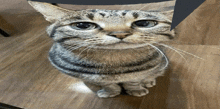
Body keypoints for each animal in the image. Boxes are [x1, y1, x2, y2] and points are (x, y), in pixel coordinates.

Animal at [27, 0, 175, 98]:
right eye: (83, 25)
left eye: (144, 23)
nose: (119, 33)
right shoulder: (96, 78)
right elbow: (108, 85)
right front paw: (111, 92)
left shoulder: (141, 73)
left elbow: (134, 81)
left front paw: (136, 90)